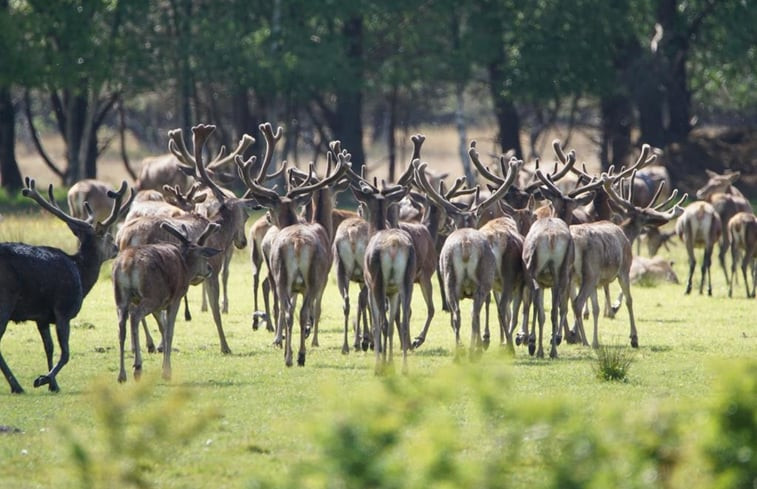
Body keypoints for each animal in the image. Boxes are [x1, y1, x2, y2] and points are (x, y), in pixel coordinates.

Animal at [0, 177, 131, 390]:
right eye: (109, 237)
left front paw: (53, 384)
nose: (116, 248)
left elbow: (49, 347)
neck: (82, 277)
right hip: (6, 300)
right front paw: (43, 379)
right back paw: (16, 386)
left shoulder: (42, 317)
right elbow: (66, 353)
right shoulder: (64, 310)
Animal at [112, 221, 220, 382]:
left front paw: (163, 359)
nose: (210, 268)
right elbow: (169, 331)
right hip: (150, 296)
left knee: (121, 327)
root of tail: (127, 264)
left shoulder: (160, 305)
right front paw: (167, 371)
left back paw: (122, 375)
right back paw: (137, 368)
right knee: (135, 316)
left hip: (121, 298)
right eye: (204, 256)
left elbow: (162, 328)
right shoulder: (175, 298)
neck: (186, 267)